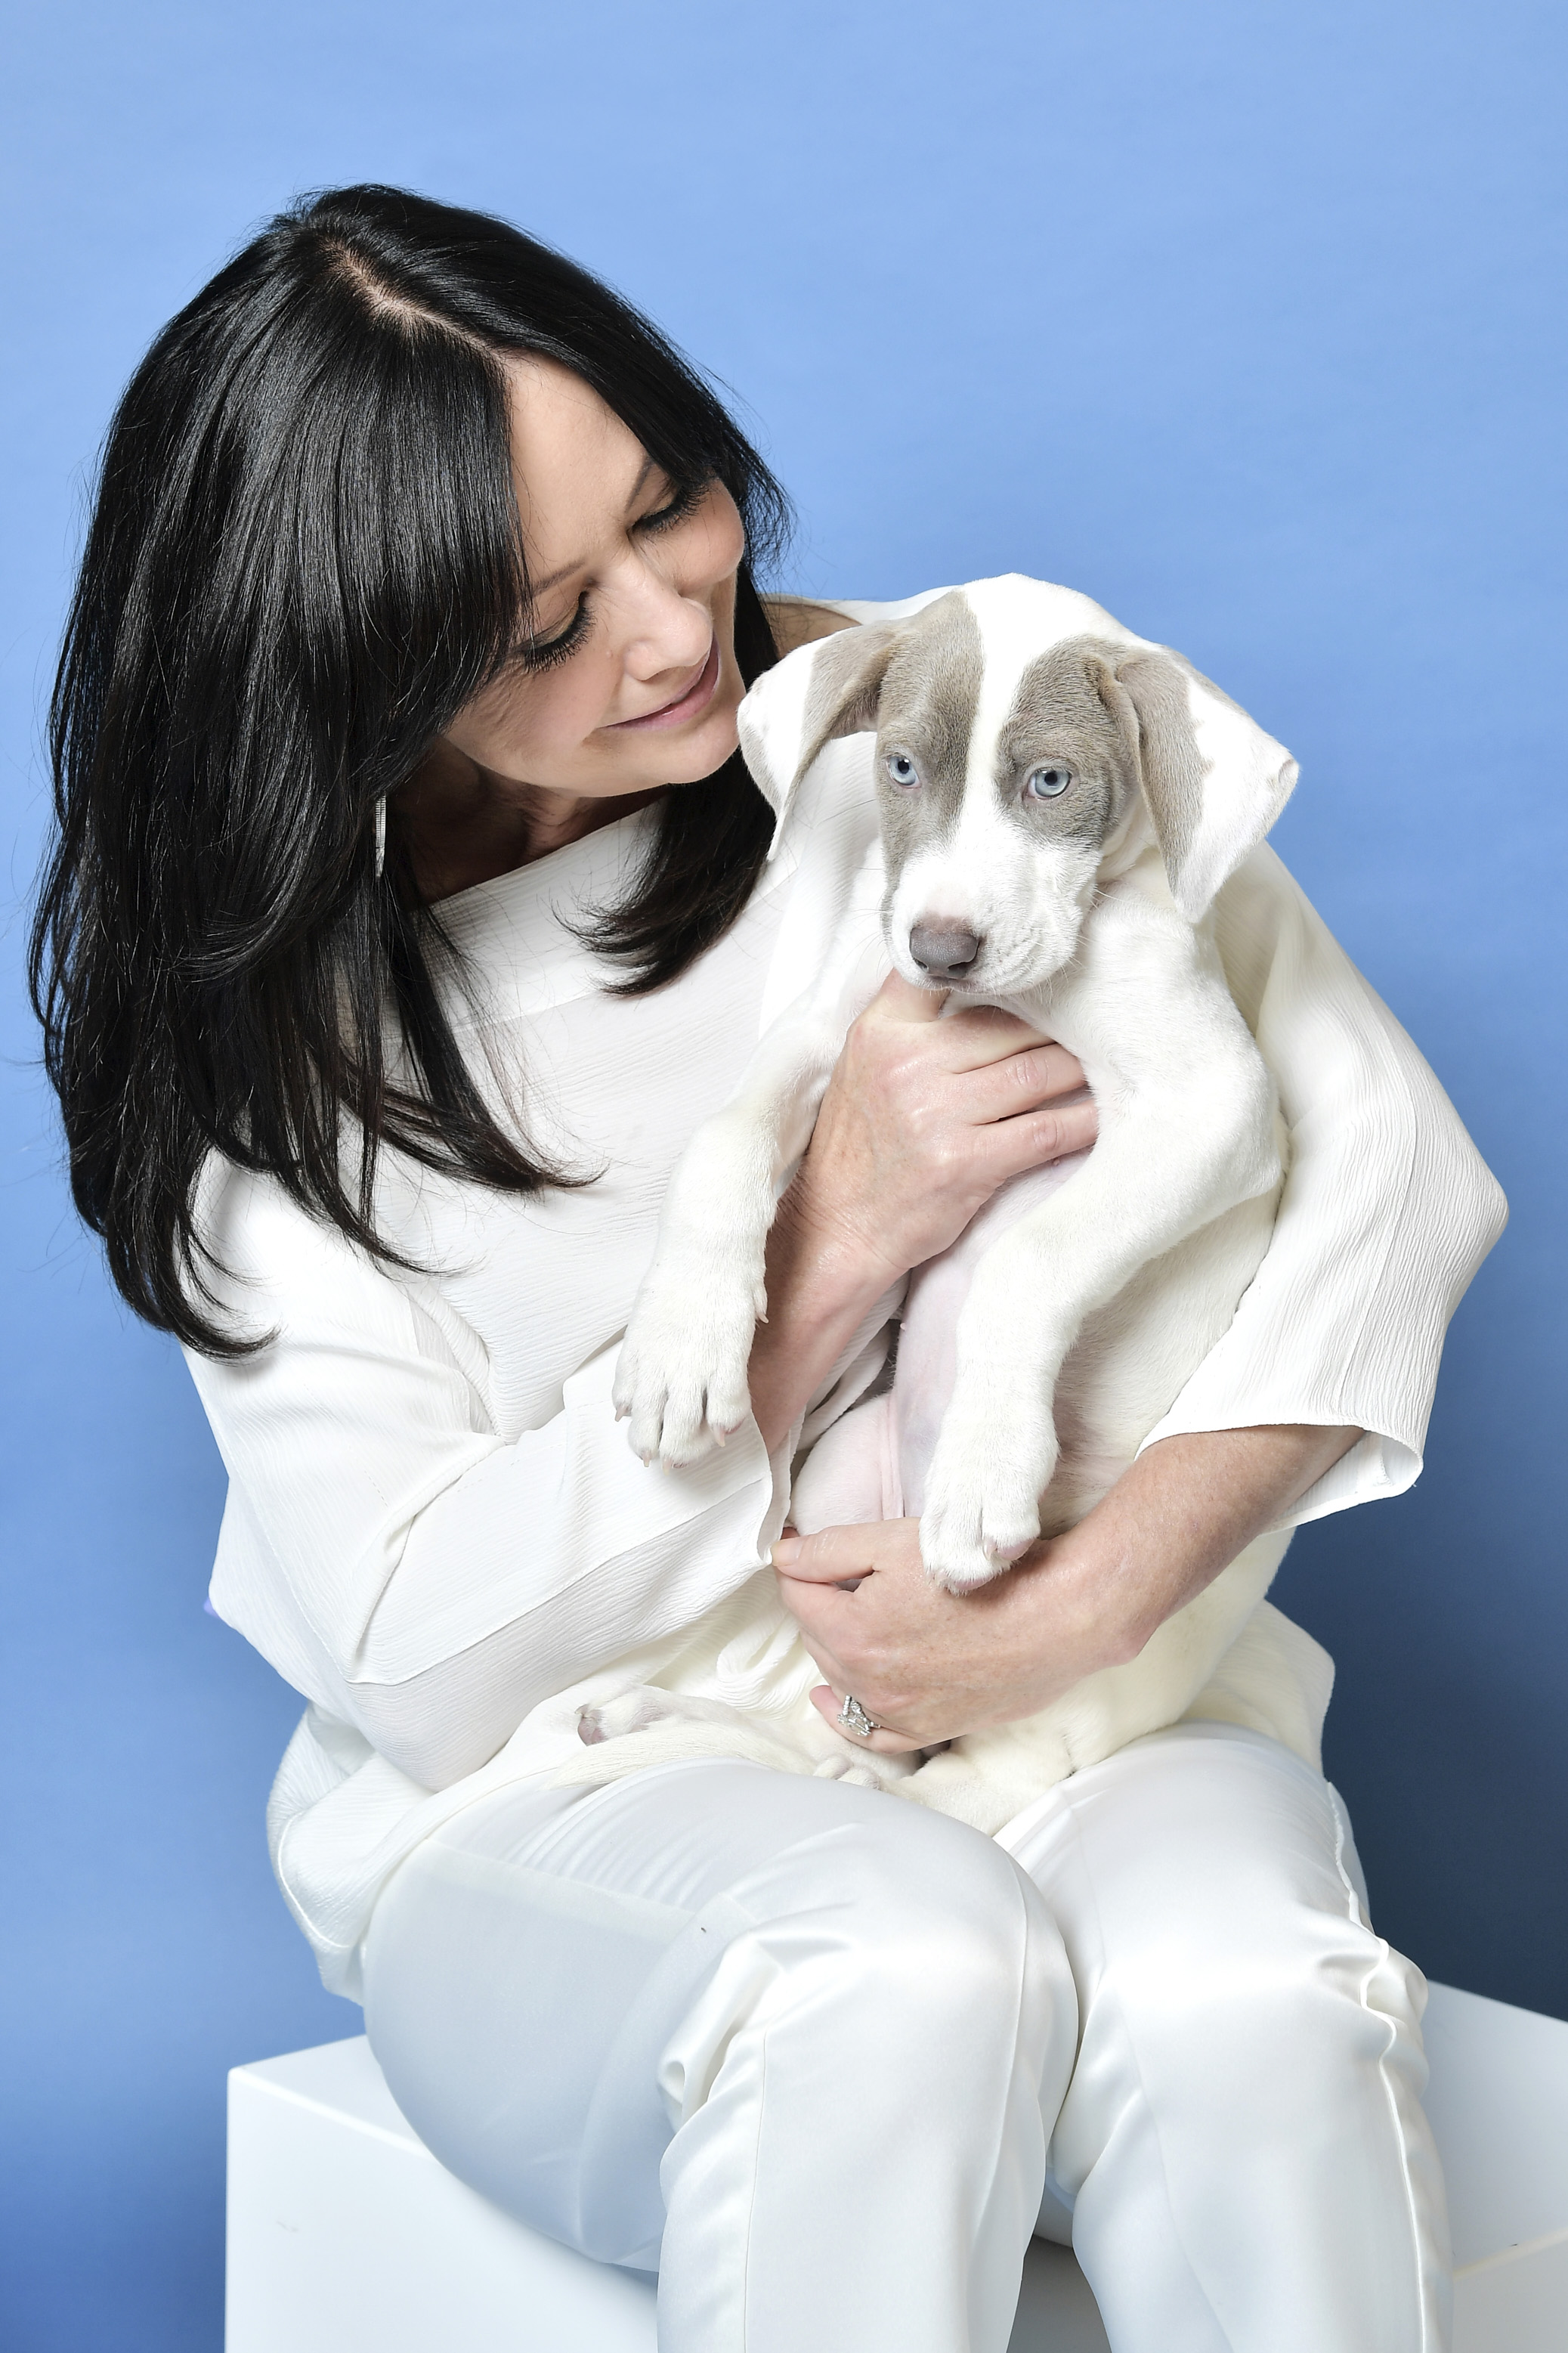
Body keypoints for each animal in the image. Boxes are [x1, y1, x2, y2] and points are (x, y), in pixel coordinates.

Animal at [606, 578, 1307, 1825]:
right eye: (898, 768)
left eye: (1050, 782)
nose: (940, 949)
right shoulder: (831, 1030)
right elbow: (721, 1141)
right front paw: (680, 1346)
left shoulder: (1214, 1107)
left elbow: (1032, 1258)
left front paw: (986, 1468)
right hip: (839, 1477)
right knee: (859, 1743)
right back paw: (676, 1719)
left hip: (1059, 1683)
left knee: (959, 1784)